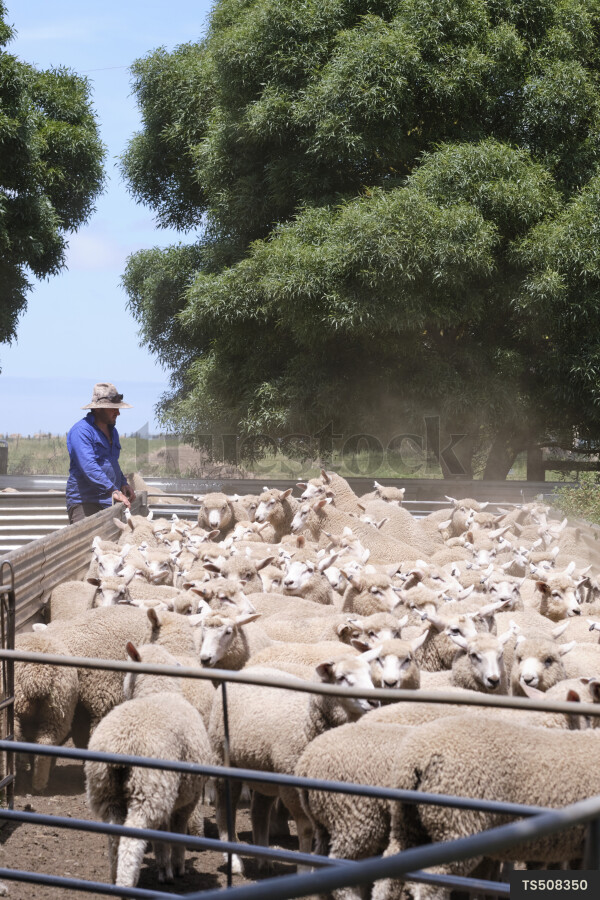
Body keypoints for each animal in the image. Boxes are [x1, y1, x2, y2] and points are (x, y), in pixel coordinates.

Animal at [85, 642, 212, 888]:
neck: (158, 691)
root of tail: (123, 744)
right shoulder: (187, 799)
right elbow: (177, 832)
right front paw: (177, 868)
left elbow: (162, 837)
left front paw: (164, 869)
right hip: (148, 790)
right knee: (131, 838)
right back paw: (126, 883)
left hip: (106, 790)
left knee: (115, 835)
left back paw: (115, 876)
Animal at [208, 653, 379, 873]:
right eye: (341, 677)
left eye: (369, 673)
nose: (374, 701)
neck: (307, 725)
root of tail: (245, 670)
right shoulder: (292, 787)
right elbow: (306, 829)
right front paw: (305, 869)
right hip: (224, 761)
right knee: (224, 811)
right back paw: (235, 861)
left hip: (265, 772)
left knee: (259, 812)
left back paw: (264, 861)